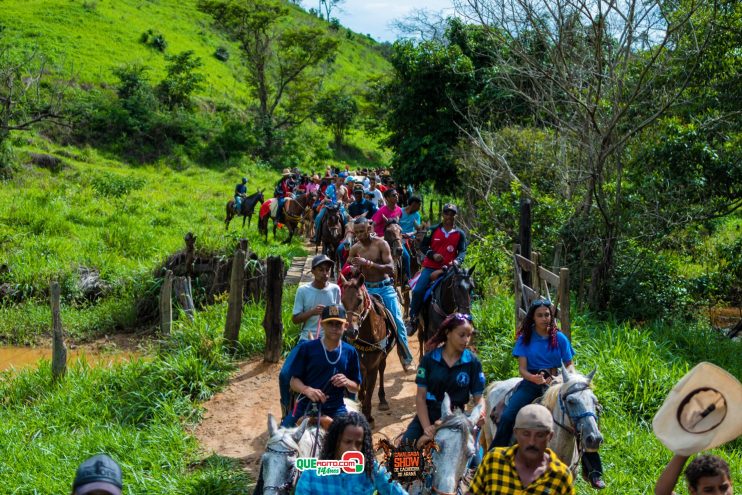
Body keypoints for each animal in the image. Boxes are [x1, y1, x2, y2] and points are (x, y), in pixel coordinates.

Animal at [338, 272, 396, 426]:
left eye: (359, 300)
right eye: (342, 300)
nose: (350, 332)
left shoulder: (373, 366)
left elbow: (370, 390)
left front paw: (368, 416)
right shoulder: (358, 362)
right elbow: (360, 387)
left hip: (382, 358)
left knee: (382, 370)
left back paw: (382, 399)